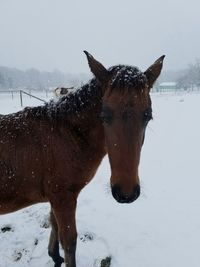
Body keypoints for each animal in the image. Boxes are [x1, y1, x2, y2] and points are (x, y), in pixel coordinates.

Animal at [0, 50, 164, 267]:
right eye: (104, 115)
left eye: (148, 116)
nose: (126, 193)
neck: (66, 135)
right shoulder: (63, 197)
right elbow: (69, 242)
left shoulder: (56, 198)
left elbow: (54, 225)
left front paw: (54, 256)